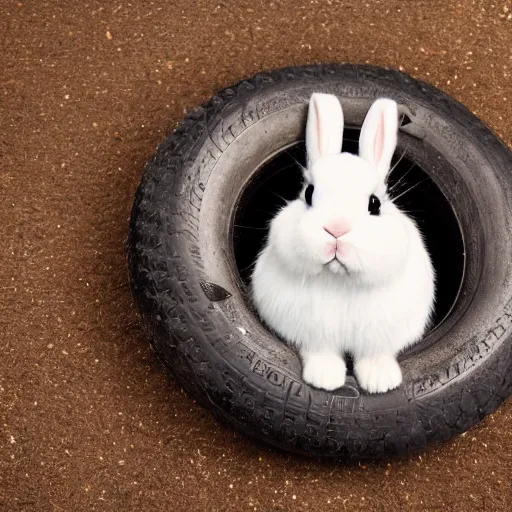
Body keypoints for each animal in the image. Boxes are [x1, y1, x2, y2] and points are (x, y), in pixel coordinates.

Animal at [250, 94, 434, 394]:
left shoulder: (379, 336)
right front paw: (325, 380)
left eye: (375, 204)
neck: (339, 280)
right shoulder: (314, 335)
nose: (336, 229)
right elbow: (320, 353)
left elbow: (375, 355)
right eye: (309, 193)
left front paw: (381, 383)